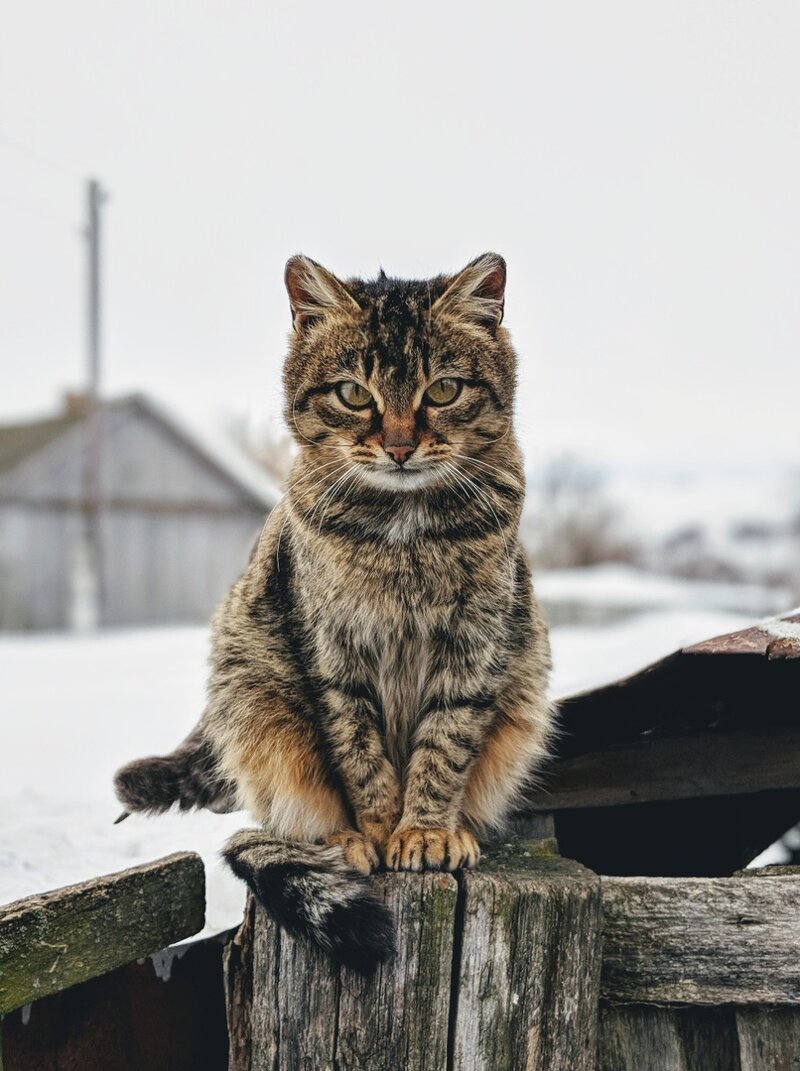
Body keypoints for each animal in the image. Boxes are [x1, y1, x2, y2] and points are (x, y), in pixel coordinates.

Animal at [114, 250, 552, 972]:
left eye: (443, 390)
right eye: (354, 394)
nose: (400, 446)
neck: (404, 533)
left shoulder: (474, 647)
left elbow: (444, 746)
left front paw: (425, 831)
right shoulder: (335, 654)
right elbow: (362, 758)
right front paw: (376, 831)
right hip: (257, 704)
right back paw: (339, 840)